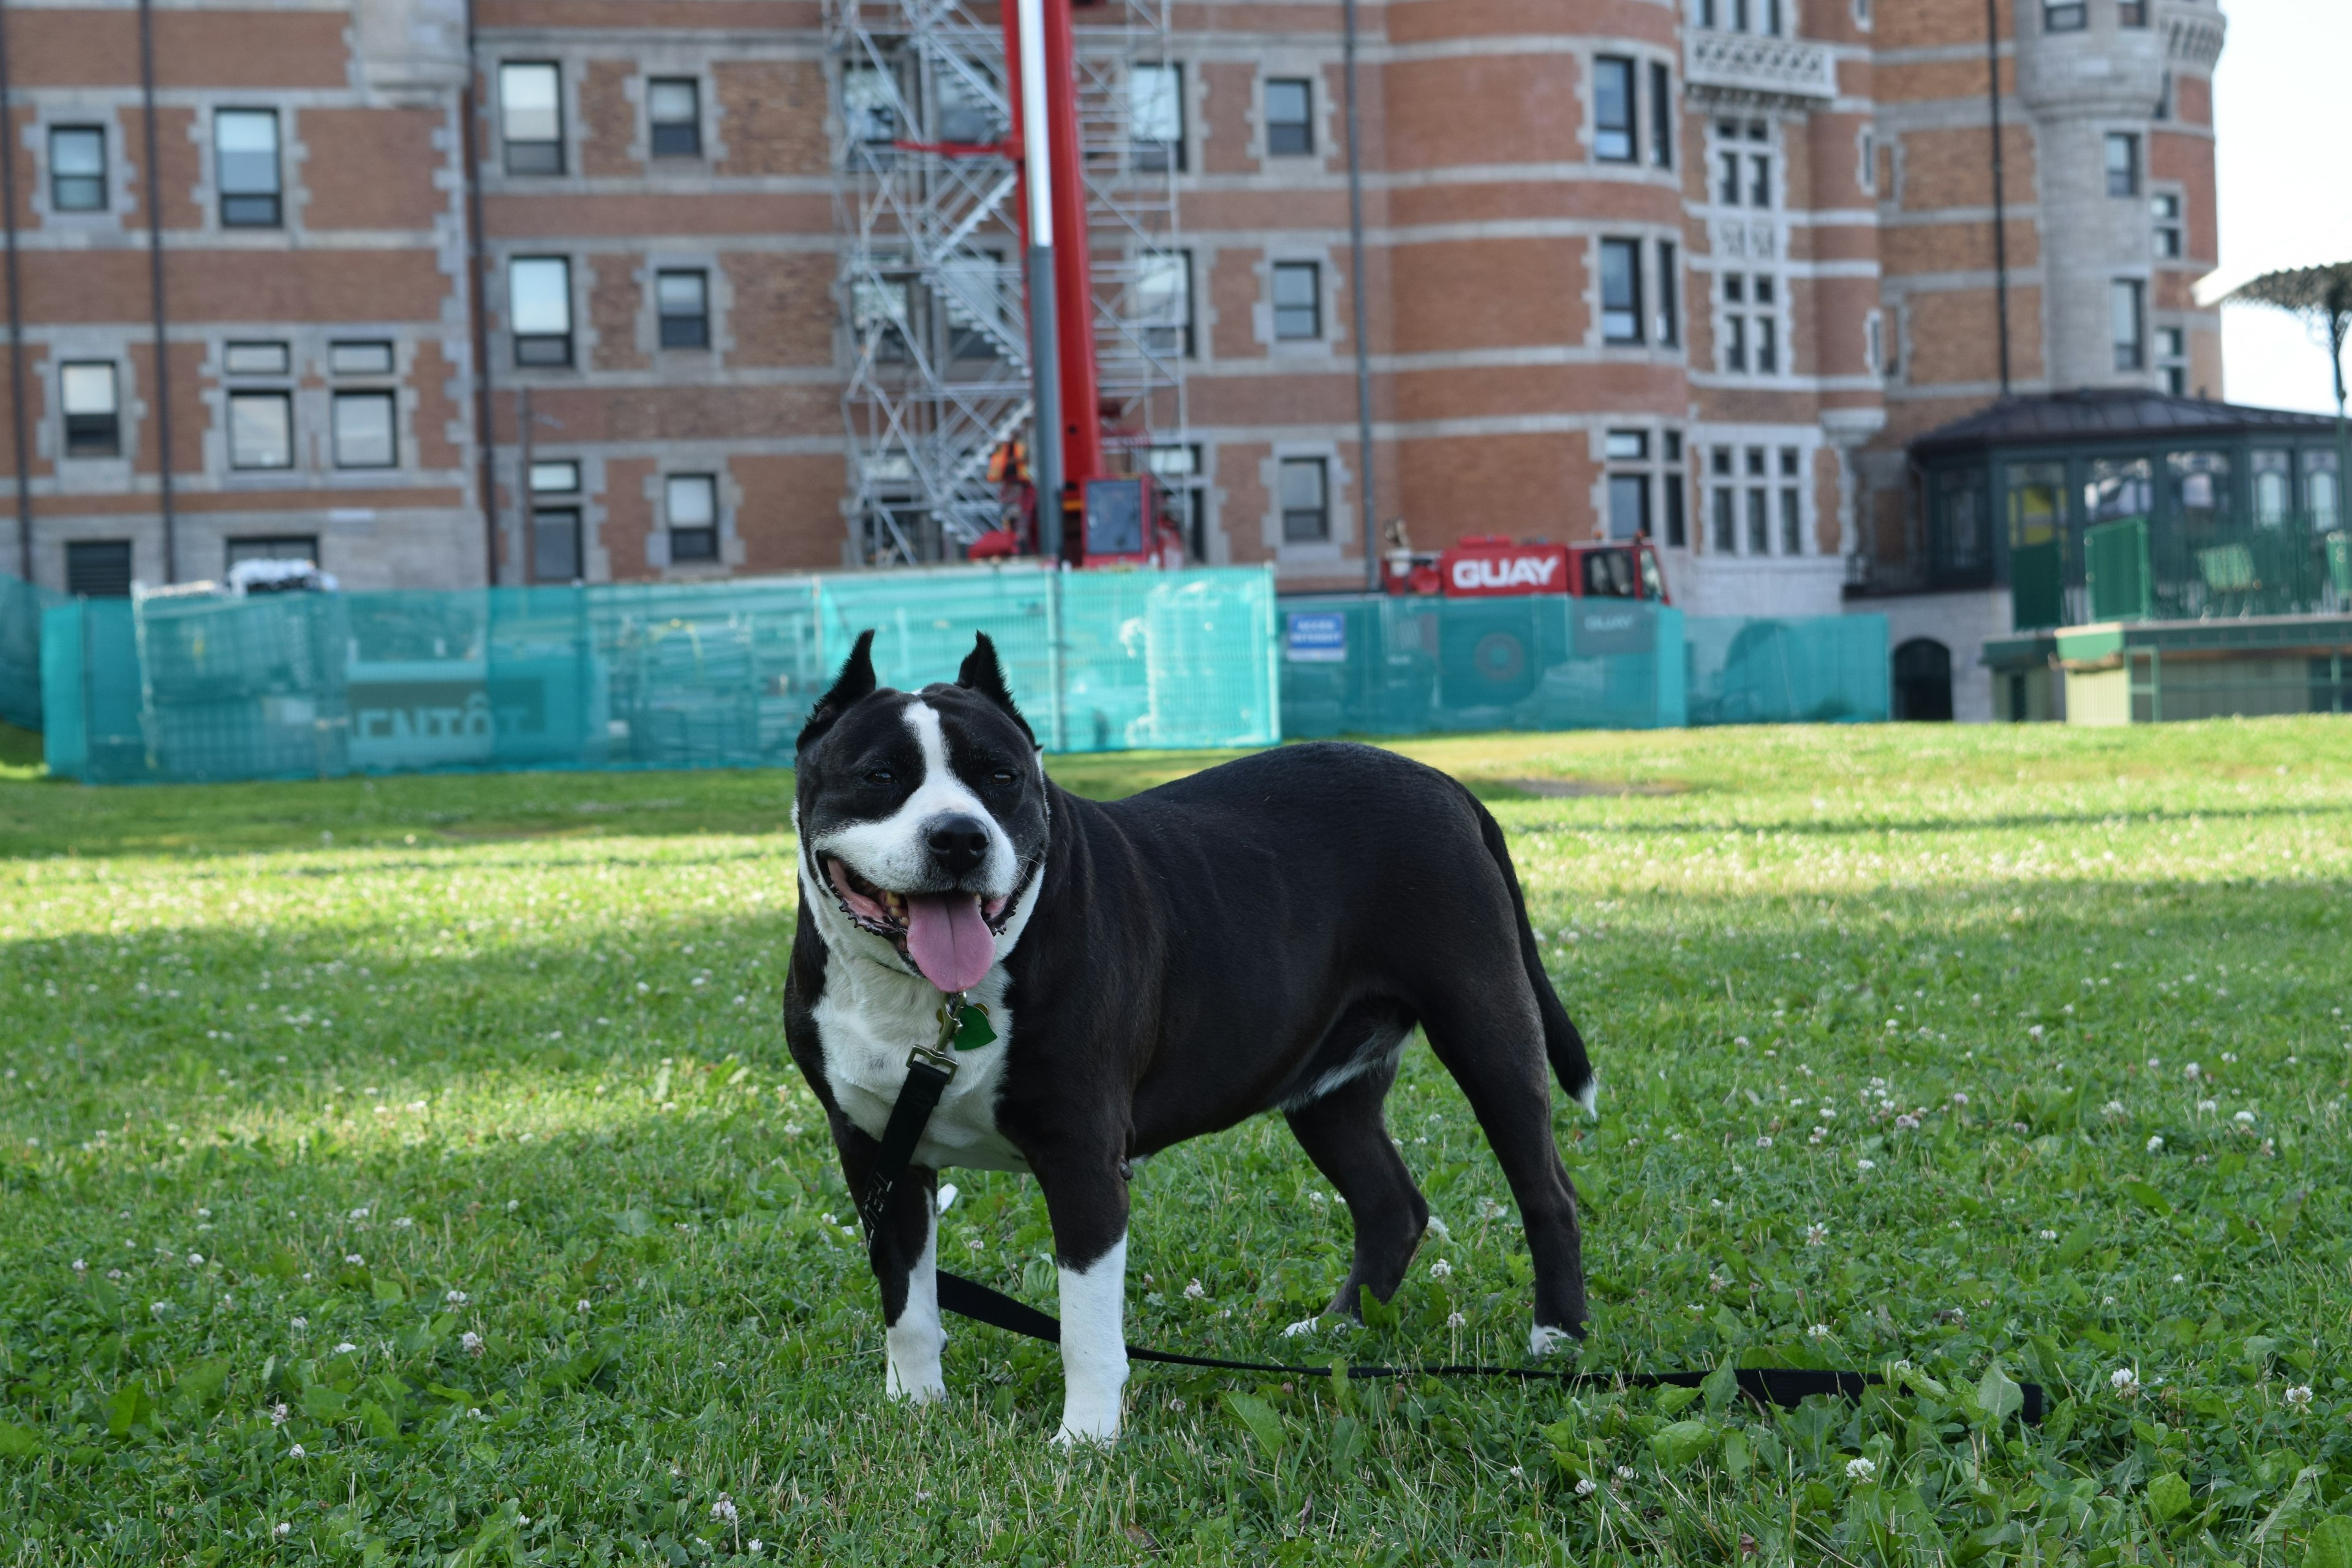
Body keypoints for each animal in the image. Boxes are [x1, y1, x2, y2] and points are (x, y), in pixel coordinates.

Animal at [790, 630, 1599, 1438]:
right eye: (880, 775)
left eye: (1002, 776)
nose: (959, 836)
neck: (932, 999)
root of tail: (1445, 784)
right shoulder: (879, 1155)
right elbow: (908, 1304)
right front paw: (914, 1408)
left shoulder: (1082, 1159)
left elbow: (1086, 1324)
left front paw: (1085, 1439)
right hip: (1329, 1093)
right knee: (1390, 1205)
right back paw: (1337, 1327)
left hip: (1487, 1030)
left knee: (1546, 1190)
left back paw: (1557, 1337)